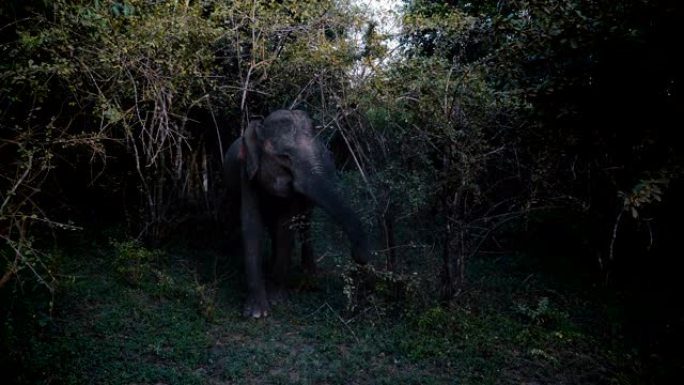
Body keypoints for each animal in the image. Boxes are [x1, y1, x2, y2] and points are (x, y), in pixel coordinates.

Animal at [224, 109, 368, 318]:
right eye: (284, 157)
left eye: (321, 154)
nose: (357, 255)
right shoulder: (246, 174)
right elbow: (252, 225)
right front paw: (257, 313)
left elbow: (286, 227)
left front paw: (278, 301)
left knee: (305, 224)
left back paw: (310, 273)